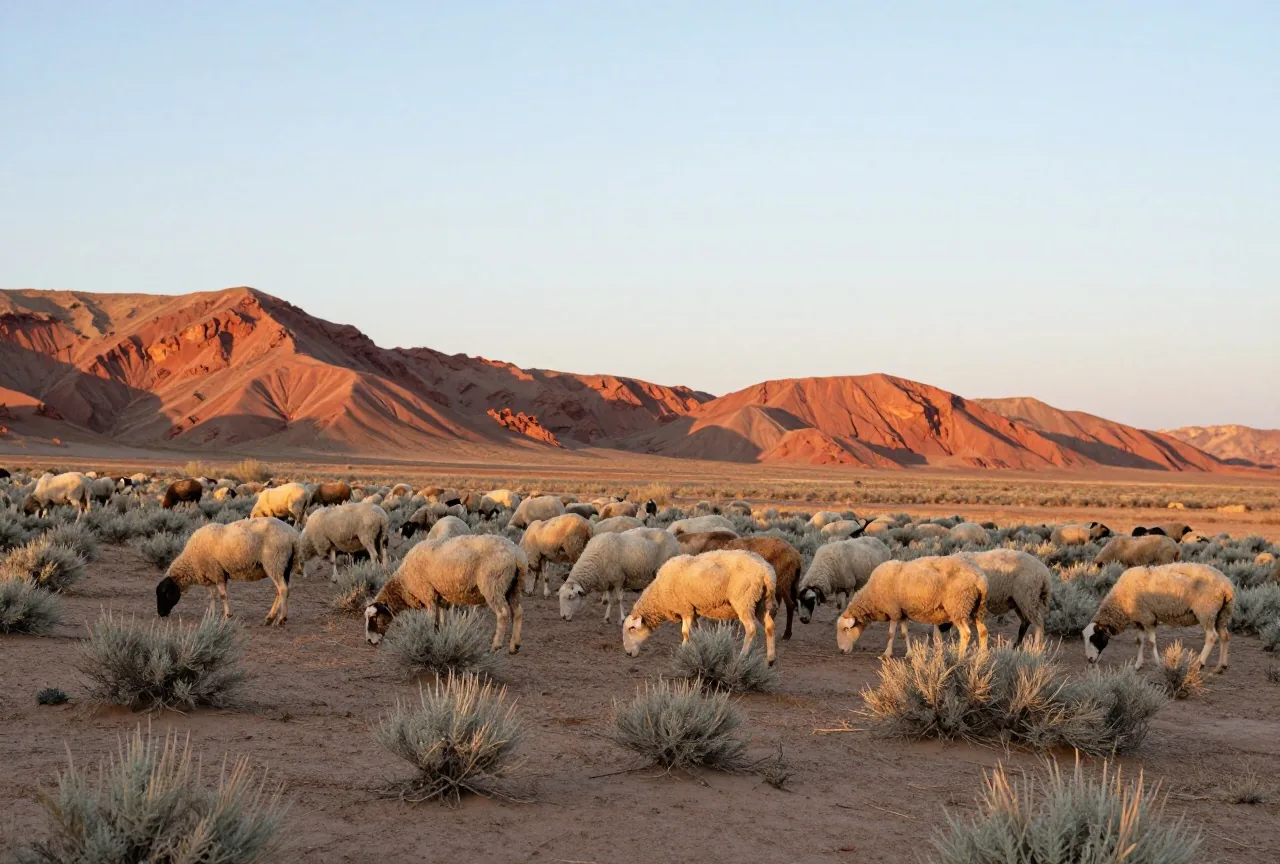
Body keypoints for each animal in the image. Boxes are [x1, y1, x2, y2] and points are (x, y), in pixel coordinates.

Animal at [157, 517, 301, 625]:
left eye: (165, 593)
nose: (160, 613)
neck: (190, 561)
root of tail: (292, 535)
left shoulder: (217, 572)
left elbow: (222, 595)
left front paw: (227, 615)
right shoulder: (210, 576)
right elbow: (212, 597)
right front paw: (211, 616)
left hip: (275, 561)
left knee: (283, 589)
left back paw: (281, 618)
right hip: (283, 566)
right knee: (281, 590)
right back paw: (270, 618)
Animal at [364, 534, 527, 653]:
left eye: (374, 618)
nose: (369, 641)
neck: (403, 584)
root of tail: (516, 554)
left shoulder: (427, 594)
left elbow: (430, 619)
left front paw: (427, 637)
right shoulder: (441, 597)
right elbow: (442, 619)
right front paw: (441, 635)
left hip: (493, 583)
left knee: (503, 613)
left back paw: (496, 645)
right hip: (514, 588)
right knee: (518, 612)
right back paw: (515, 645)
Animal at [621, 550, 777, 665]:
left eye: (631, 628)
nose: (628, 654)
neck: (658, 594)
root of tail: (766, 570)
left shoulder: (685, 609)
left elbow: (685, 633)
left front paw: (683, 652)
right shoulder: (693, 611)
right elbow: (697, 632)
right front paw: (700, 649)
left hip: (743, 600)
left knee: (751, 629)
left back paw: (742, 657)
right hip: (761, 602)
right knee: (769, 625)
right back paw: (770, 659)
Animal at [836, 556, 989, 658]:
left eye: (846, 629)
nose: (841, 650)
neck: (871, 596)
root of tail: (979, 578)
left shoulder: (893, 611)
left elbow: (891, 634)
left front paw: (886, 653)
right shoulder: (902, 612)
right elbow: (904, 633)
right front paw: (909, 654)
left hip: (958, 606)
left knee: (966, 633)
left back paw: (959, 658)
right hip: (977, 608)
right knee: (983, 631)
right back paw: (982, 658)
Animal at [1084, 563, 1233, 672]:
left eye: (1095, 638)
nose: (1089, 660)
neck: (1120, 600)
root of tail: (1226, 585)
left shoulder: (1148, 617)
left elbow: (1151, 642)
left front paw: (1158, 663)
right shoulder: (1140, 620)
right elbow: (1139, 641)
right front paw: (1137, 665)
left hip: (1206, 611)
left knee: (1212, 637)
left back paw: (1199, 663)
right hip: (1222, 613)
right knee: (1225, 636)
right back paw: (1221, 666)